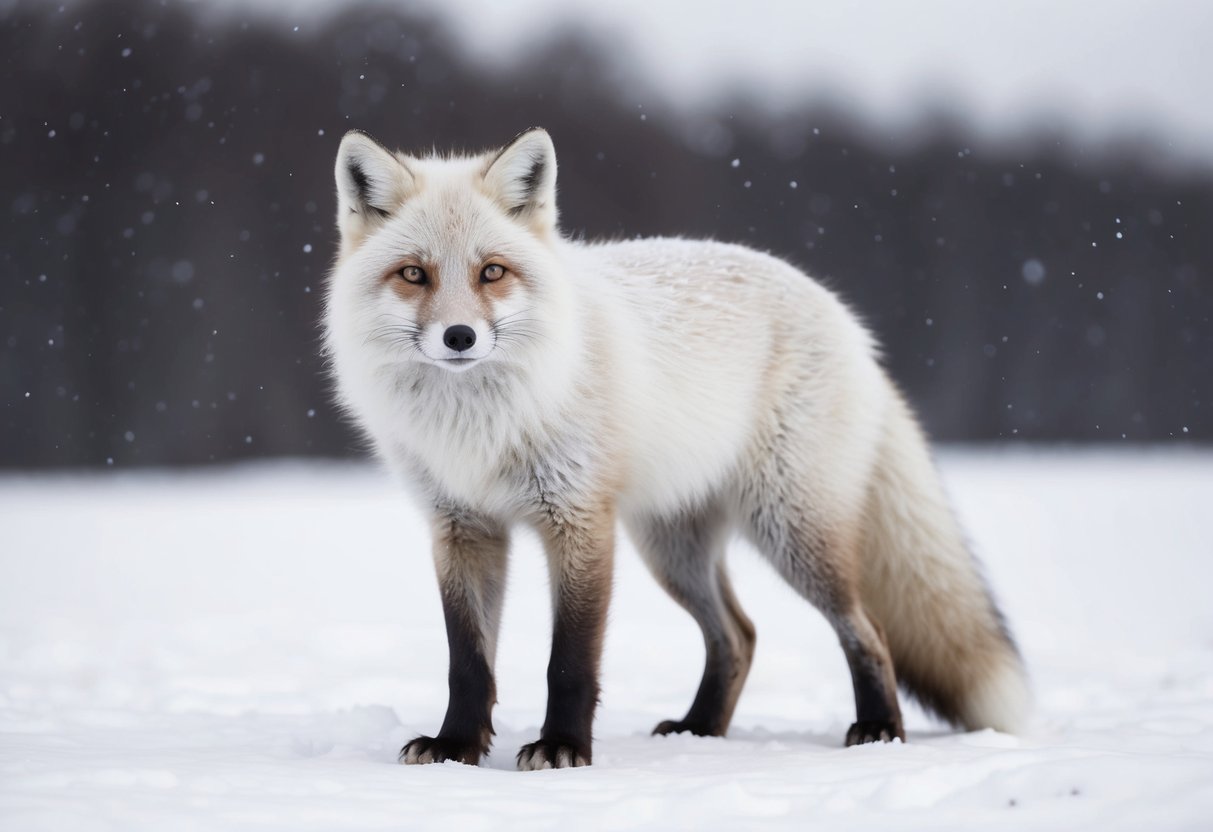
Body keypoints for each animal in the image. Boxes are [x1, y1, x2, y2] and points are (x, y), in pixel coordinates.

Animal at [323, 127, 1030, 770]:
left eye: (491, 271)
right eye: (414, 275)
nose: (460, 337)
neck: (479, 426)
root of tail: (847, 320)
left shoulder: (578, 519)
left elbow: (569, 660)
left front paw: (563, 748)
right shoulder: (462, 528)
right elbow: (467, 663)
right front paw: (456, 749)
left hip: (792, 533)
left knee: (868, 631)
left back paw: (880, 730)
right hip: (674, 549)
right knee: (739, 636)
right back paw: (700, 729)